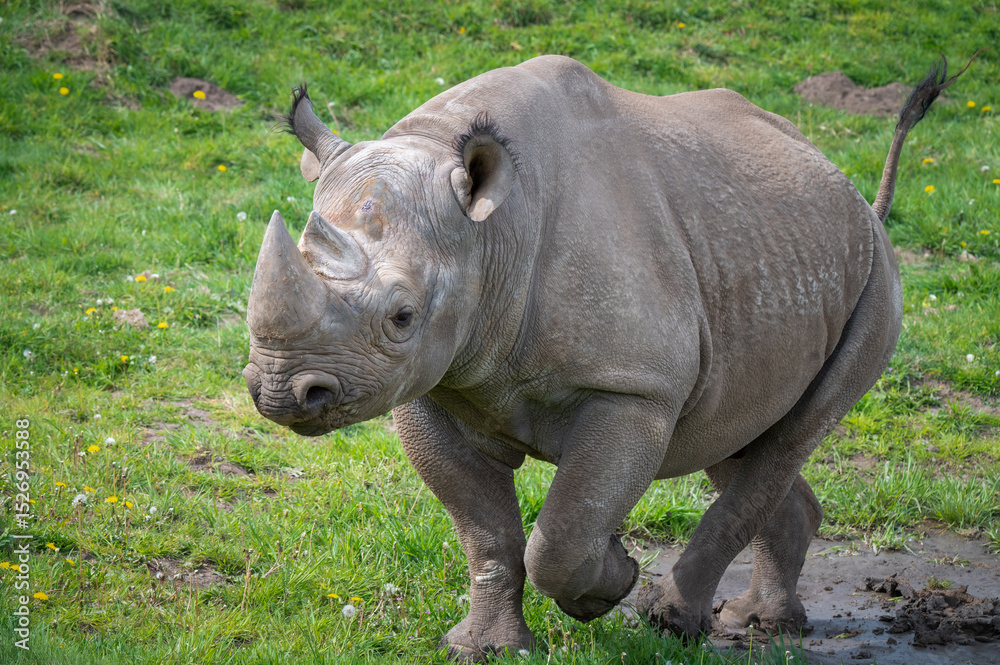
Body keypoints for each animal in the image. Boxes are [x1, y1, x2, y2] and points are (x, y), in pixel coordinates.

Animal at [243, 54, 970, 660]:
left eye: (402, 316)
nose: (282, 391)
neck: (489, 234)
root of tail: (856, 197)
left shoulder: (633, 388)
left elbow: (564, 531)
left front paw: (609, 583)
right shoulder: (433, 381)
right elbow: (486, 530)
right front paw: (485, 649)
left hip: (875, 286)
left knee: (792, 434)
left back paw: (673, 621)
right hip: (772, 254)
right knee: (740, 435)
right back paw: (760, 624)